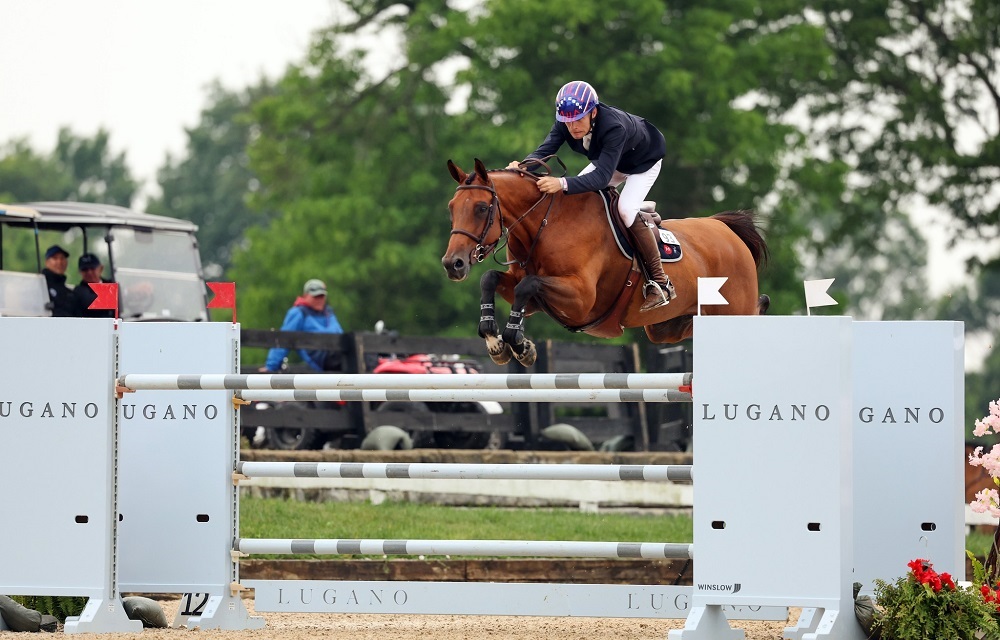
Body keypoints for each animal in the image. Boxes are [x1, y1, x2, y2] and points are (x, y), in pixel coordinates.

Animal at [442, 158, 770, 367]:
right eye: (452, 208)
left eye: (481, 208)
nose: (452, 264)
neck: (547, 223)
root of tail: (726, 229)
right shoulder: (536, 300)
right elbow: (492, 279)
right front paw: (496, 343)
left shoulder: (581, 300)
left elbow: (527, 285)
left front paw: (519, 345)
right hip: (665, 326)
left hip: (731, 311)